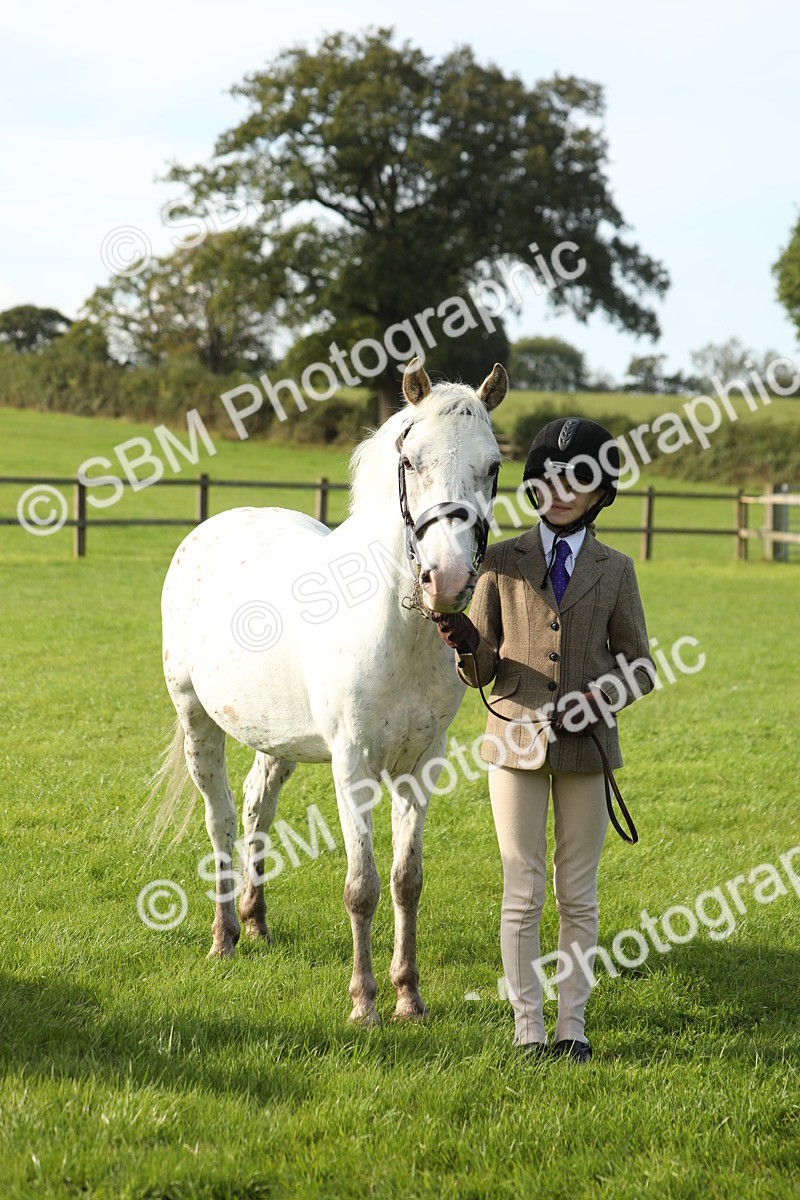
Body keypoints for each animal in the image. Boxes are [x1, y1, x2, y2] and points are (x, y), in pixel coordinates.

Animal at [155, 357, 507, 1024]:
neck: (397, 630)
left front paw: (408, 996)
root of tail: (211, 528)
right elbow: (361, 886)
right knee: (221, 821)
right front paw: (364, 1001)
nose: (447, 580)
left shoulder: (421, 765)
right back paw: (224, 938)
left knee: (256, 805)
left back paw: (255, 921)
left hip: (277, 739)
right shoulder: (353, 765)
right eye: (410, 459)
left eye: (494, 465)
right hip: (196, 721)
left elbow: (405, 880)